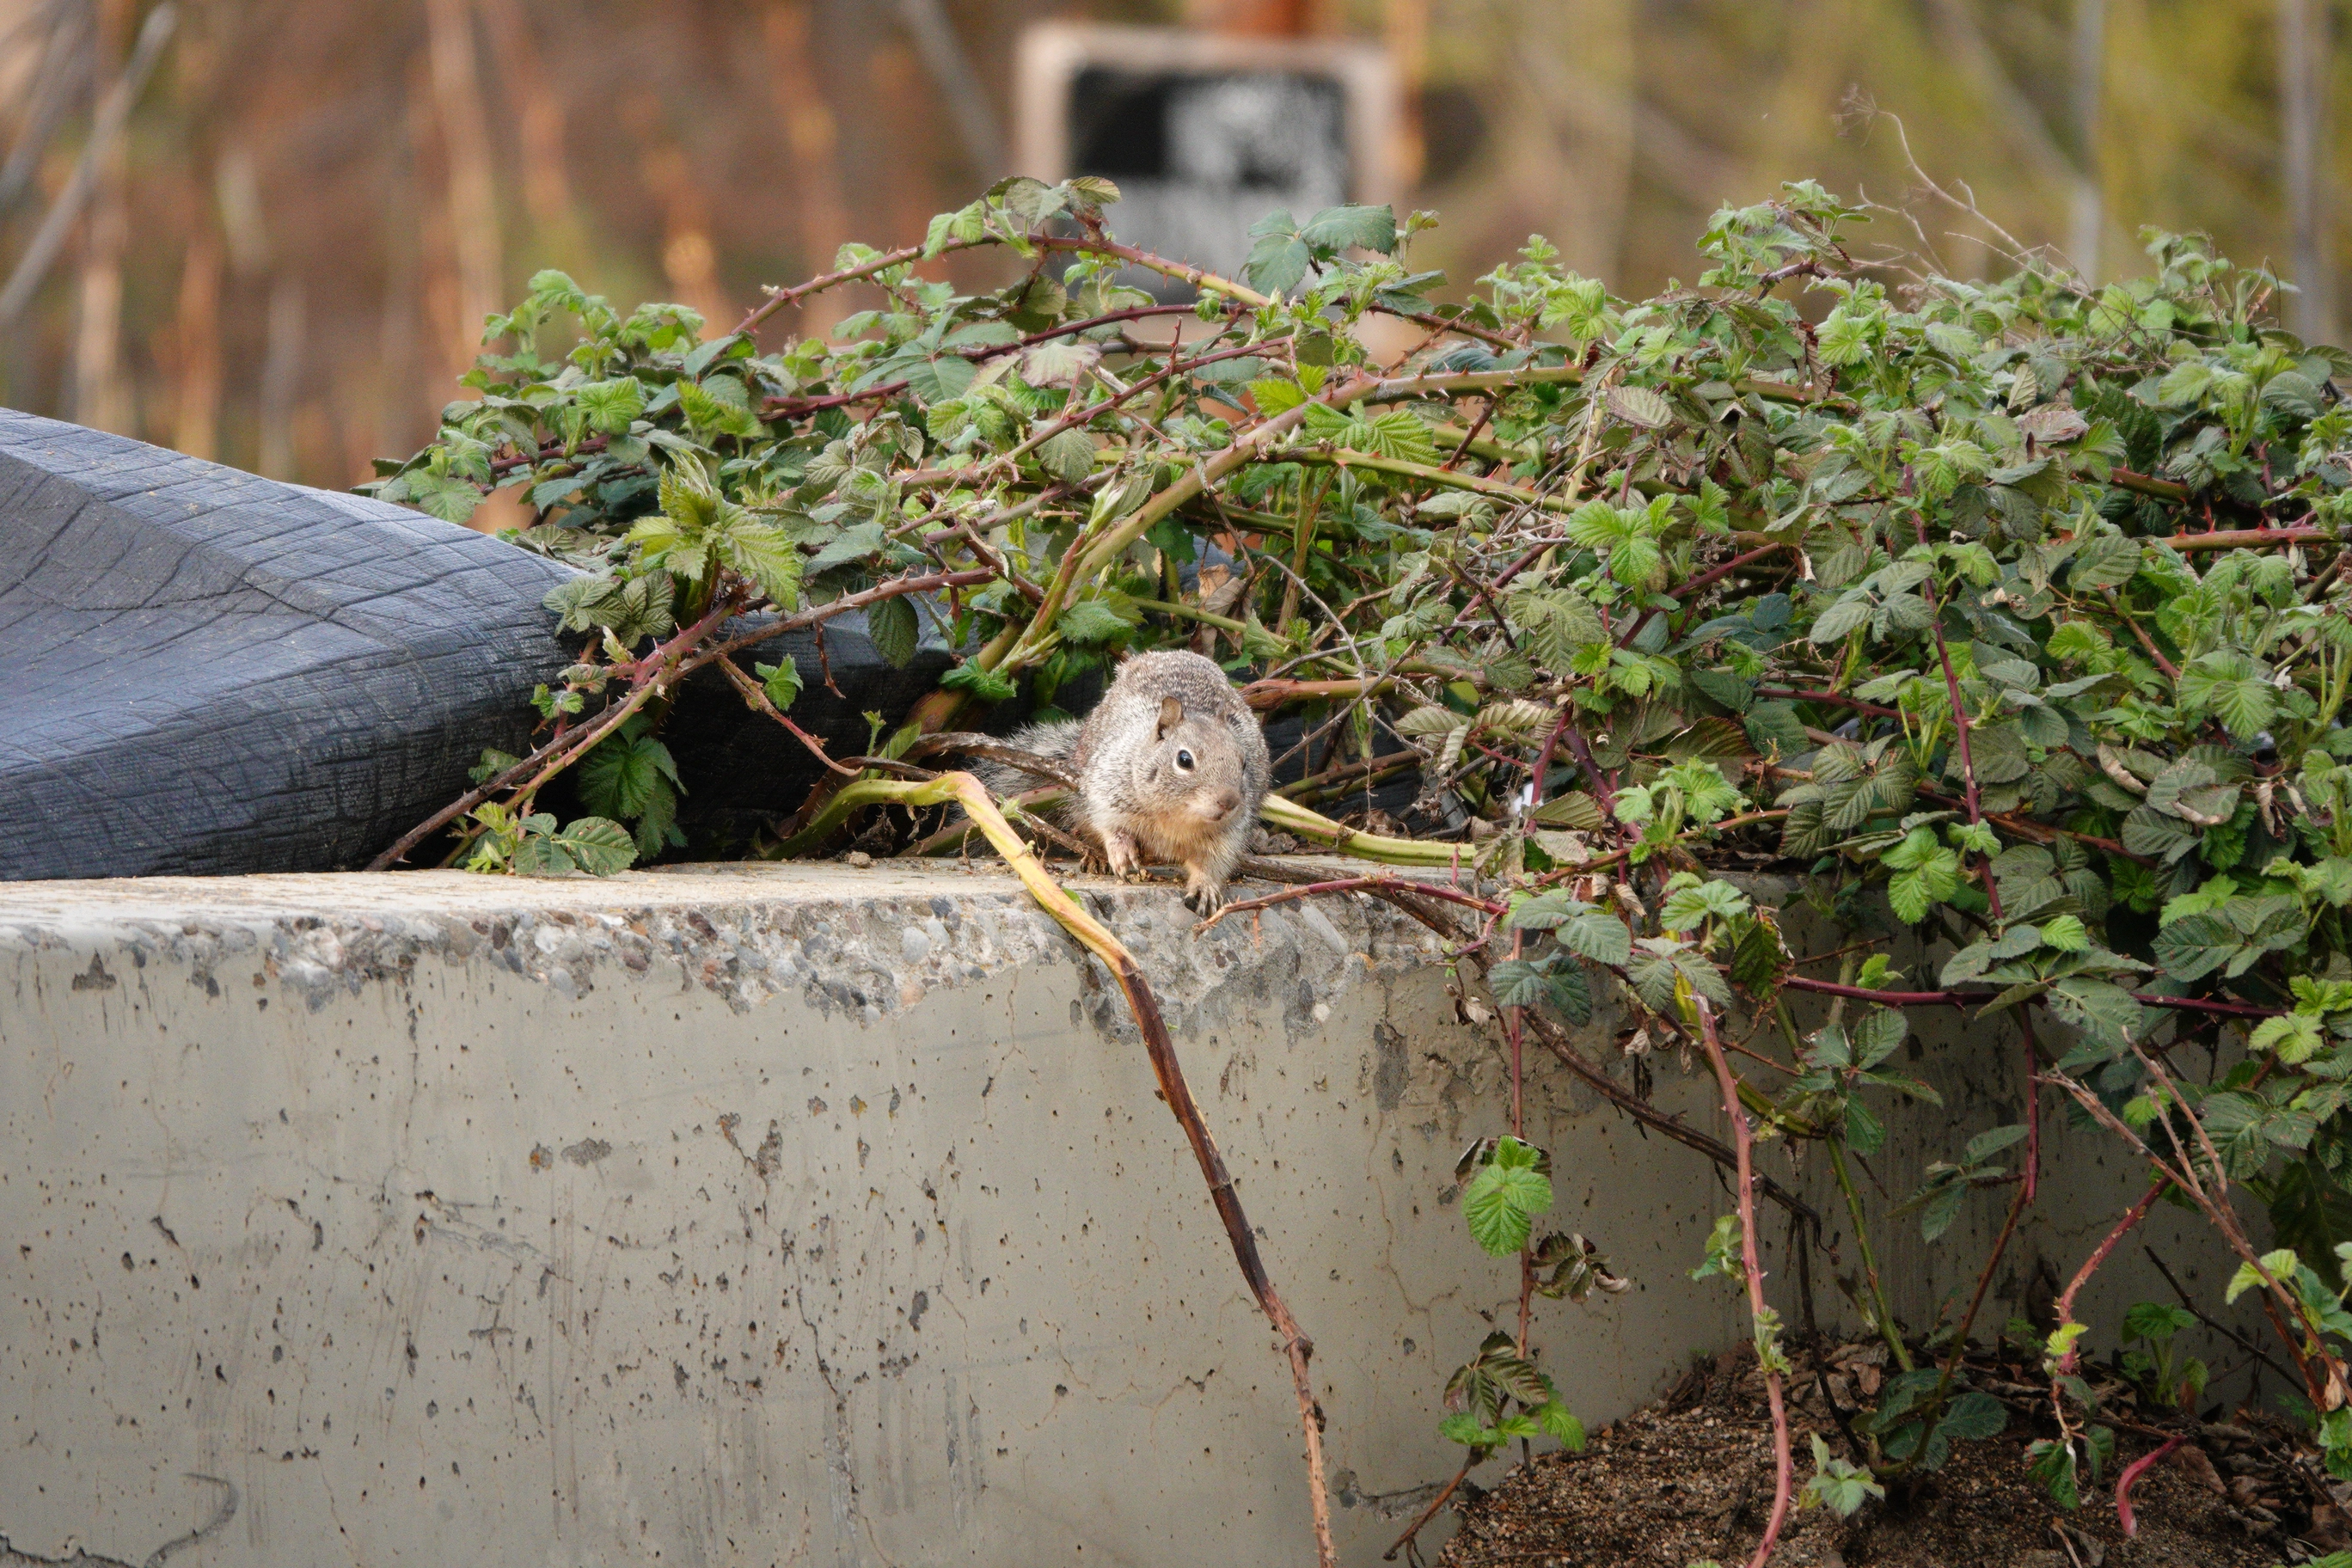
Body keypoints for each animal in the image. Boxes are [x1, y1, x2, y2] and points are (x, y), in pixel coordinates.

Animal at [991, 650, 1270, 913]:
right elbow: (1110, 826)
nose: (1229, 801)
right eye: (1184, 760)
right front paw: (1121, 851)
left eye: (1243, 763)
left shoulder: (1228, 835)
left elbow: (1213, 863)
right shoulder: (1107, 790)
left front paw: (1206, 888)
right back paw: (1097, 859)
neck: (1176, 817)